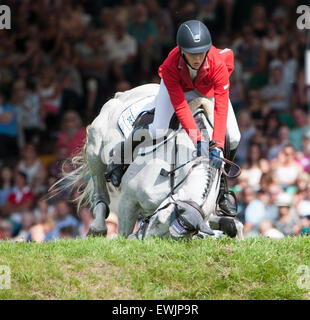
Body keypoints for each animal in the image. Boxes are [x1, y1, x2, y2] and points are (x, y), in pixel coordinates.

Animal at [54, 84, 243, 239]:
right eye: (159, 221)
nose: (140, 239)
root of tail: (122, 94)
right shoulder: (128, 200)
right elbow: (123, 233)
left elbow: (232, 226)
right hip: (95, 150)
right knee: (100, 191)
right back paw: (97, 227)